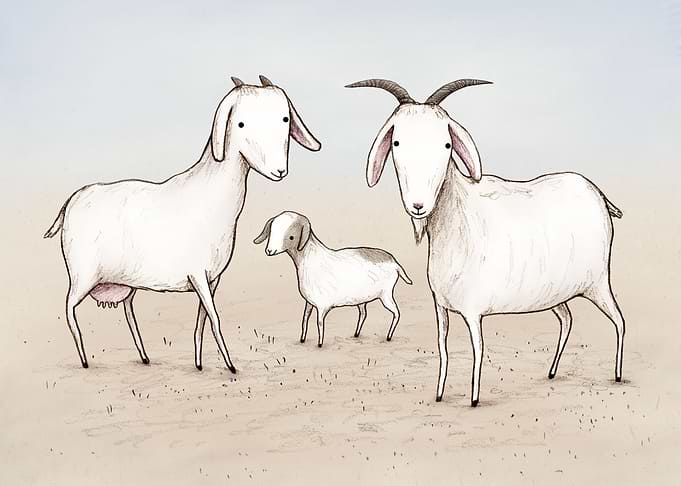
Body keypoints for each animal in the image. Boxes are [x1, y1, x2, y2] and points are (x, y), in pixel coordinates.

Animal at [44, 75, 321, 371]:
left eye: (284, 118)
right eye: (241, 123)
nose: (279, 170)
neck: (211, 194)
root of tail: (71, 201)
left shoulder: (211, 280)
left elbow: (202, 321)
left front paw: (199, 363)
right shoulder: (198, 275)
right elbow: (215, 319)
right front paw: (231, 366)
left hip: (125, 283)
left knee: (128, 310)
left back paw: (144, 357)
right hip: (82, 275)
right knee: (69, 310)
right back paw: (85, 361)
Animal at [254, 211, 412, 346]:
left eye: (291, 237)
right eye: (272, 232)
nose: (269, 251)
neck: (310, 259)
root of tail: (394, 263)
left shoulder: (322, 306)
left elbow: (319, 324)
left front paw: (320, 344)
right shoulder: (309, 303)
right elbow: (304, 320)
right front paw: (302, 340)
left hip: (386, 295)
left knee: (396, 313)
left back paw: (389, 337)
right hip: (363, 300)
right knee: (363, 314)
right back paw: (356, 334)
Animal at [347, 78, 625, 406]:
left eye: (447, 144)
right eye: (397, 143)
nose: (418, 205)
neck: (459, 221)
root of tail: (598, 194)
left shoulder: (473, 312)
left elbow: (478, 351)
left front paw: (474, 399)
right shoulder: (441, 308)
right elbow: (443, 348)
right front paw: (439, 394)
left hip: (598, 283)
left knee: (619, 321)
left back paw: (617, 375)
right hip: (557, 292)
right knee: (567, 319)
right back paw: (552, 372)